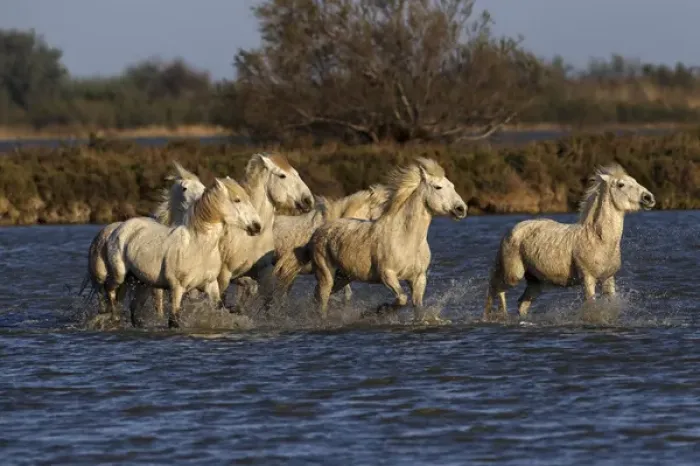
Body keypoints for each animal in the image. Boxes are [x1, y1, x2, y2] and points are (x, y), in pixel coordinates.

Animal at [104, 177, 261, 328]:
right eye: (237, 200)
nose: (257, 226)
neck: (198, 247)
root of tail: (121, 227)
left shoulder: (210, 285)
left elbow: (220, 308)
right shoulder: (177, 289)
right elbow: (173, 321)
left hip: (142, 283)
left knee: (134, 309)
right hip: (119, 276)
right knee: (110, 292)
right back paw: (114, 318)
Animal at [309, 158, 467, 323]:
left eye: (453, 186)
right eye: (438, 187)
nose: (461, 209)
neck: (406, 239)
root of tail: (321, 229)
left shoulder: (418, 278)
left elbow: (418, 307)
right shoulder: (387, 275)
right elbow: (402, 298)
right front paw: (377, 311)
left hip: (344, 277)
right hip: (326, 273)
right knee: (322, 299)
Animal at [484, 163, 656, 319]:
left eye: (634, 180)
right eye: (621, 184)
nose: (649, 198)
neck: (599, 239)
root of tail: (511, 230)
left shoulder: (608, 278)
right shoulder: (588, 278)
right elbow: (591, 305)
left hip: (535, 281)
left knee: (521, 303)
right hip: (514, 275)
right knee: (495, 288)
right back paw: (493, 316)